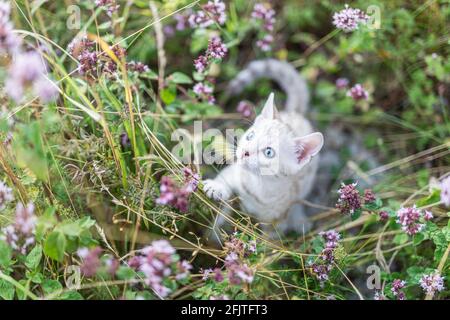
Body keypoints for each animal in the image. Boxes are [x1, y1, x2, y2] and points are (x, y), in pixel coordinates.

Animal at [202, 58, 322, 238]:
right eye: (250, 136)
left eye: (268, 152)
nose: (245, 152)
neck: (259, 188)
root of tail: (296, 113)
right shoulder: (237, 172)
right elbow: (226, 177)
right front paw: (217, 187)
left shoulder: (276, 220)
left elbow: (269, 238)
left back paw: (299, 218)